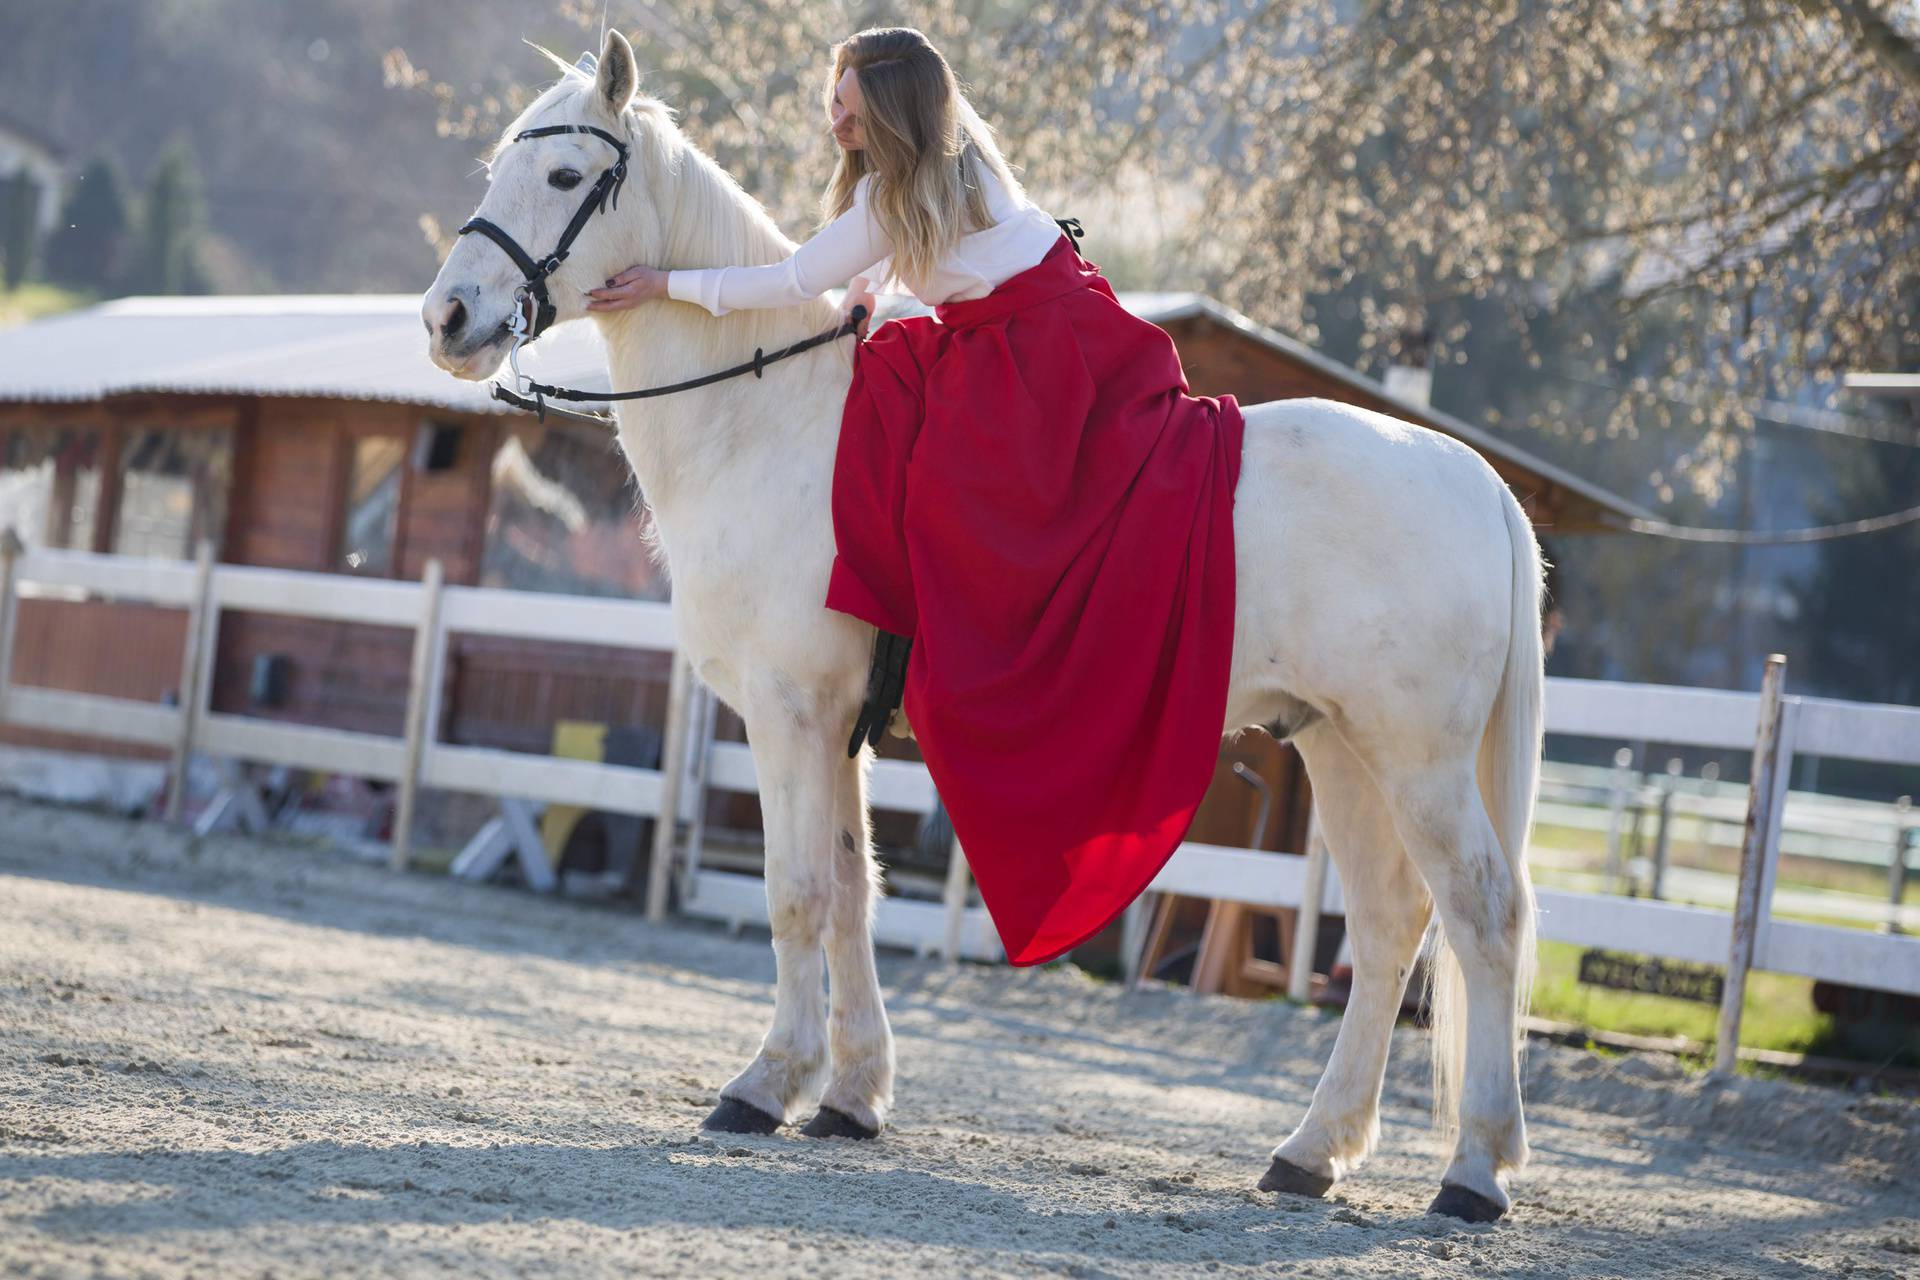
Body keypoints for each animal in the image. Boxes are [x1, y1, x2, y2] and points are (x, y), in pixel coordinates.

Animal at [424, 29, 1543, 1228]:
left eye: (564, 176)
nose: (447, 319)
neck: (767, 420)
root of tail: (1479, 480)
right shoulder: (837, 729)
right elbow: (853, 890)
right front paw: (852, 1095)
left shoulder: (786, 713)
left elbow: (797, 894)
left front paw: (765, 1083)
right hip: (1340, 745)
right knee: (1387, 928)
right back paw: (1311, 1151)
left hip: (1415, 760)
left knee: (1482, 916)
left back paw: (1474, 1171)